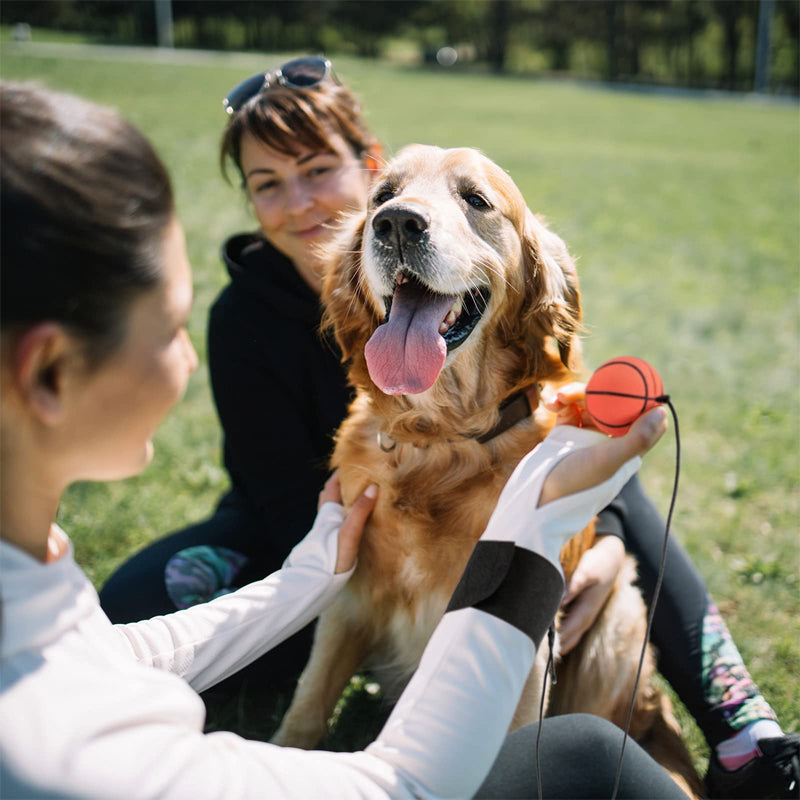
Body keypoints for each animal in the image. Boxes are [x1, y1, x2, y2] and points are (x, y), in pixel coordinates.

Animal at [274, 147, 700, 796]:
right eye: (382, 196)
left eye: (475, 200)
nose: (396, 224)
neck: (441, 440)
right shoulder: (349, 600)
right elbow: (306, 707)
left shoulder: (526, 659)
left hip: (620, 618)